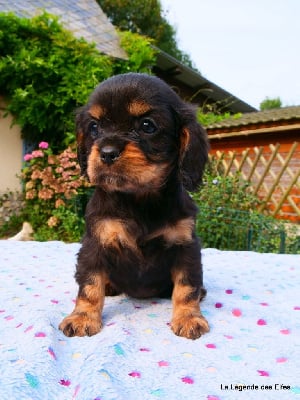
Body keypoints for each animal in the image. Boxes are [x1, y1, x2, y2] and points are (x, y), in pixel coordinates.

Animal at [58, 73, 209, 340]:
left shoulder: (186, 246)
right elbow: (89, 286)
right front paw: (82, 317)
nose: (107, 153)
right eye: (94, 127)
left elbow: (187, 286)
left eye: (147, 125)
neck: (137, 199)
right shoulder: (94, 244)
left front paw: (189, 318)